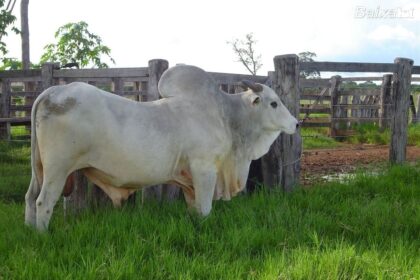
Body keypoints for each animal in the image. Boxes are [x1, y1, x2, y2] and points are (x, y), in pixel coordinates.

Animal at [24, 64, 298, 231]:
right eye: (274, 103)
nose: (296, 123)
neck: (227, 118)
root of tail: (53, 91)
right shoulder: (204, 169)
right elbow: (205, 208)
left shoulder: (189, 179)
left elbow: (195, 208)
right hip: (58, 169)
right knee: (43, 201)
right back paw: (43, 236)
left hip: (39, 169)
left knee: (29, 198)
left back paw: (30, 232)